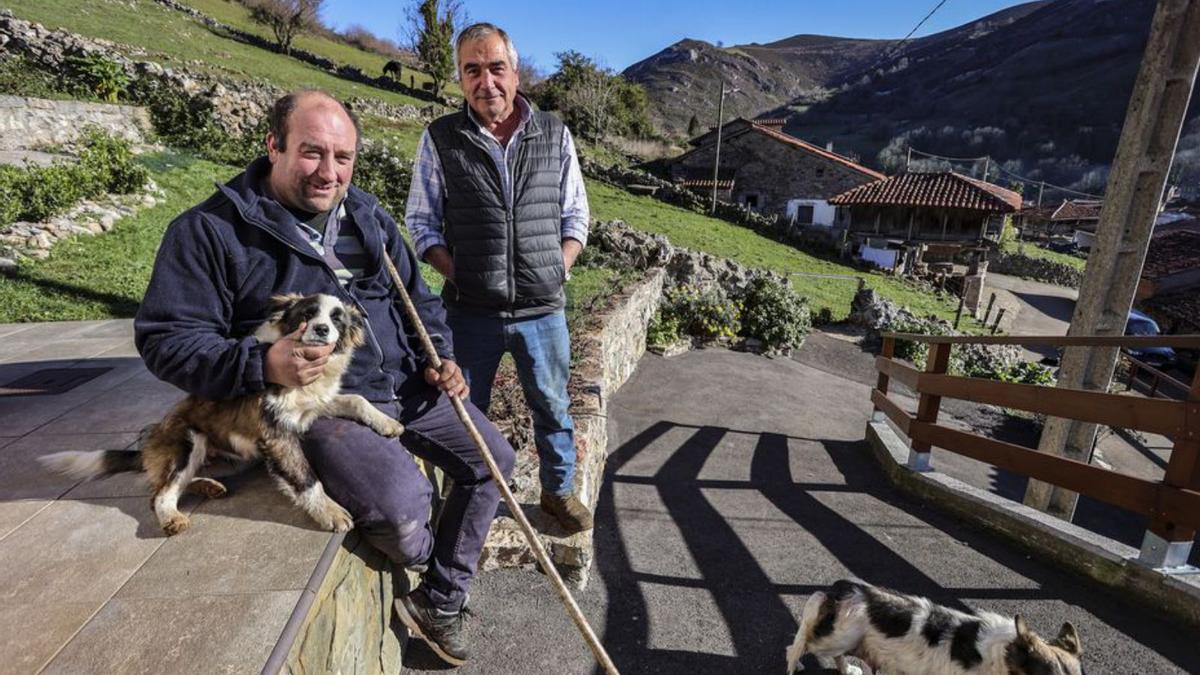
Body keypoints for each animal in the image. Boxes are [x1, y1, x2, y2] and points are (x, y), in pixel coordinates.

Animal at [43, 291, 408, 533]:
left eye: (336, 319)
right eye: (307, 314)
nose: (321, 330)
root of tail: (147, 447)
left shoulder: (318, 403)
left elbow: (357, 399)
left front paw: (387, 423)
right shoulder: (276, 434)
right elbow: (305, 479)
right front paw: (330, 512)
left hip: (235, 456)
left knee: (170, 485)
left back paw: (207, 486)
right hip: (189, 440)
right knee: (159, 493)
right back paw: (172, 517)